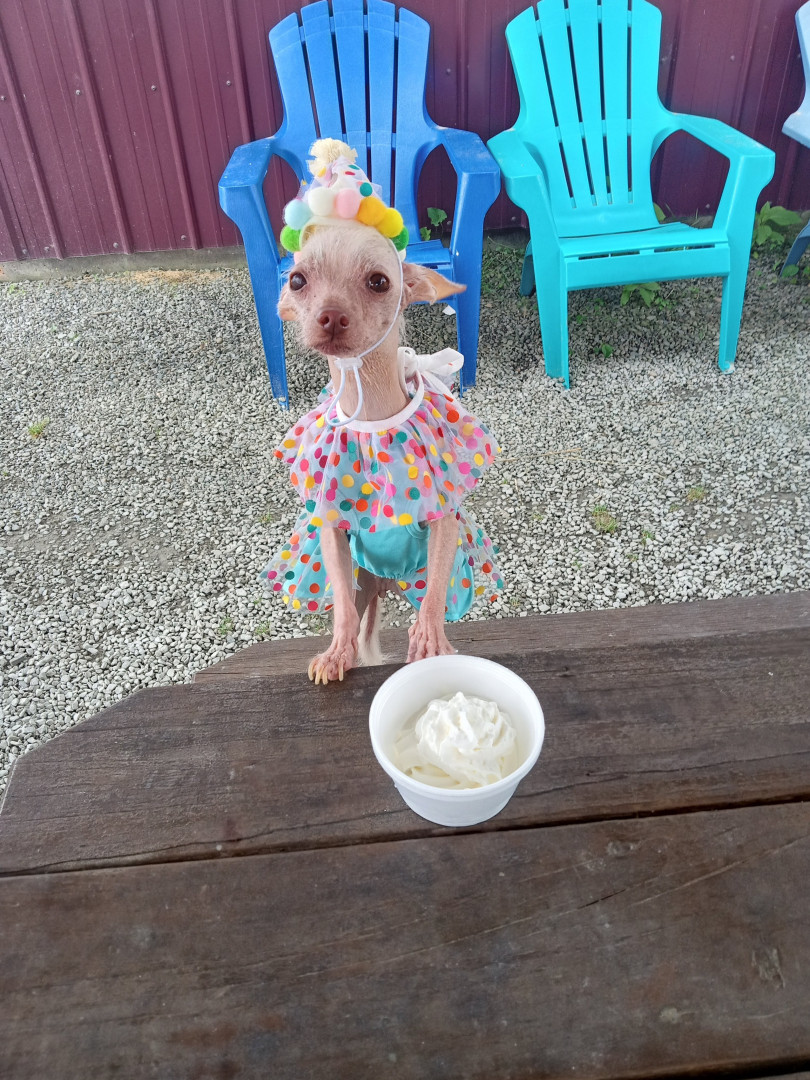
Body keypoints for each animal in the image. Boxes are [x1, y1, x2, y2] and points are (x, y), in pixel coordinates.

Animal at [261, 140, 502, 684]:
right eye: (299, 280)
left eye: (378, 281)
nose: (330, 315)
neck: (370, 416)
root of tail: (388, 583)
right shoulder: (331, 526)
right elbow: (343, 612)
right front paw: (336, 653)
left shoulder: (443, 515)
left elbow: (433, 599)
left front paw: (431, 643)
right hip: (360, 580)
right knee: (354, 606)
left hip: (423, 578)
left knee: (428, 596)